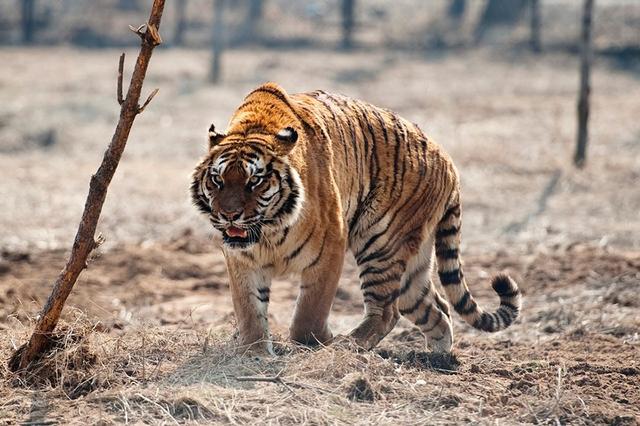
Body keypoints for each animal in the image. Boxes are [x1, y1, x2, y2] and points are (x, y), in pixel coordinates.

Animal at [190, 82, 521, 355]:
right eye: (218, 180)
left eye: (254, 181)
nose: (229, 215)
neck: (269, 230)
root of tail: (449, 161)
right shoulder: (242, 259)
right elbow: (249, 309)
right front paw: (254, 352)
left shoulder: (329, 249)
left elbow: (309, 314)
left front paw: (317, 343)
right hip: (411, 269)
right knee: (436, 309)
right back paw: (435, 359)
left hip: (381, 242)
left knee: (387, 312)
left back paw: (348, 346)